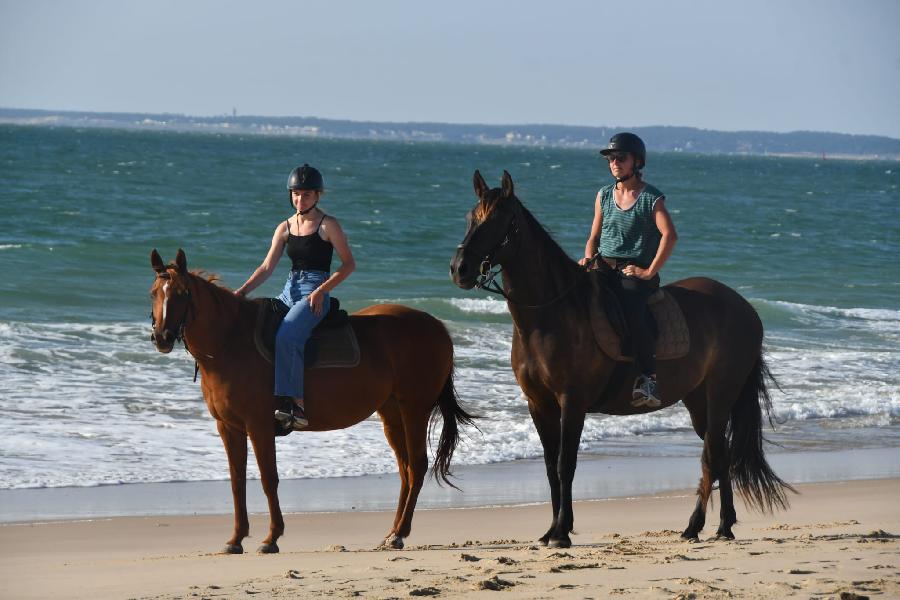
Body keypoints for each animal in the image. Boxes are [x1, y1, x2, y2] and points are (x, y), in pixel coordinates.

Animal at [149, 248, 472, 552]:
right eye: (154, 293)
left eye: (182, 293)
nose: (162, 337)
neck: (230, 342)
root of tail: (438, 327)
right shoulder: (228, 427)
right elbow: (237, 482)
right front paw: (236, 538)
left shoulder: (259, 426)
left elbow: (268, 479)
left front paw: (272, 537)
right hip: (391, 413)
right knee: (405, 470)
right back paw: (393, 532)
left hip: (414, 409)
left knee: (416, 466)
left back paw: (400, 533)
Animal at [450, 170, 796, 548]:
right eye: (470, 217)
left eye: (497, 220)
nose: (459, 268)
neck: (551, 313)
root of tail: (745, 307)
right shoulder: (538, 403)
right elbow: (550, 466)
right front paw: (552, 530)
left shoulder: (572, 401)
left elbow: (565, 464)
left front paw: (562, 532)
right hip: (697, 399)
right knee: (720, 453)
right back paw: (723, 526)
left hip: (721, 393)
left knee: (711, 455)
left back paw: (694, 526)